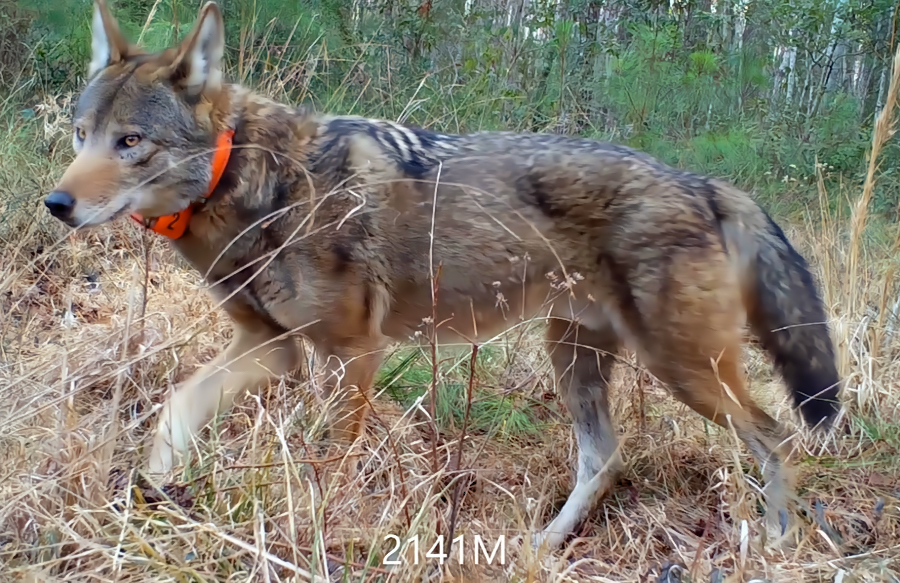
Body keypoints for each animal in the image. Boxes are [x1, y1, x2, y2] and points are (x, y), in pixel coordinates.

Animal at [43, 0, 841, 551]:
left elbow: (331, 464)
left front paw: (321, 532)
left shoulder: (351, 354)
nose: (57, 203)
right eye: (82, 136)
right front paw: (148, 495)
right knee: (605, 457)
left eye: (131, 142)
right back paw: (540, 547)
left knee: (776, 437)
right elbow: (176, 408)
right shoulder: (272, 347)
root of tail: (703, 182)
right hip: (577, 358)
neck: (252, 182)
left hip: (684, 369)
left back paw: (778, 543)